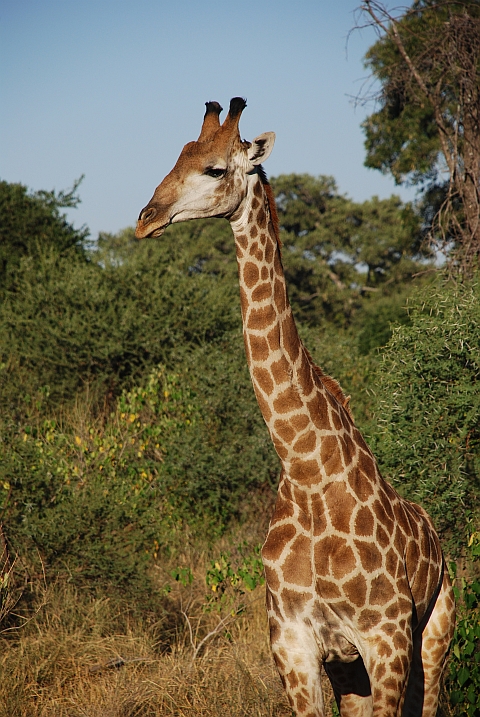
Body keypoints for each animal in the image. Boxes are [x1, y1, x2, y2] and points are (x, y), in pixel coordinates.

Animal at [135, 98, 455, 716]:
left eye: (215, 169)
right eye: (176, 157)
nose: (145, 217)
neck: (306, 470)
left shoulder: (385, 640)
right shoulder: (294, 643)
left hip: (435, 635)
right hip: (351, 670)